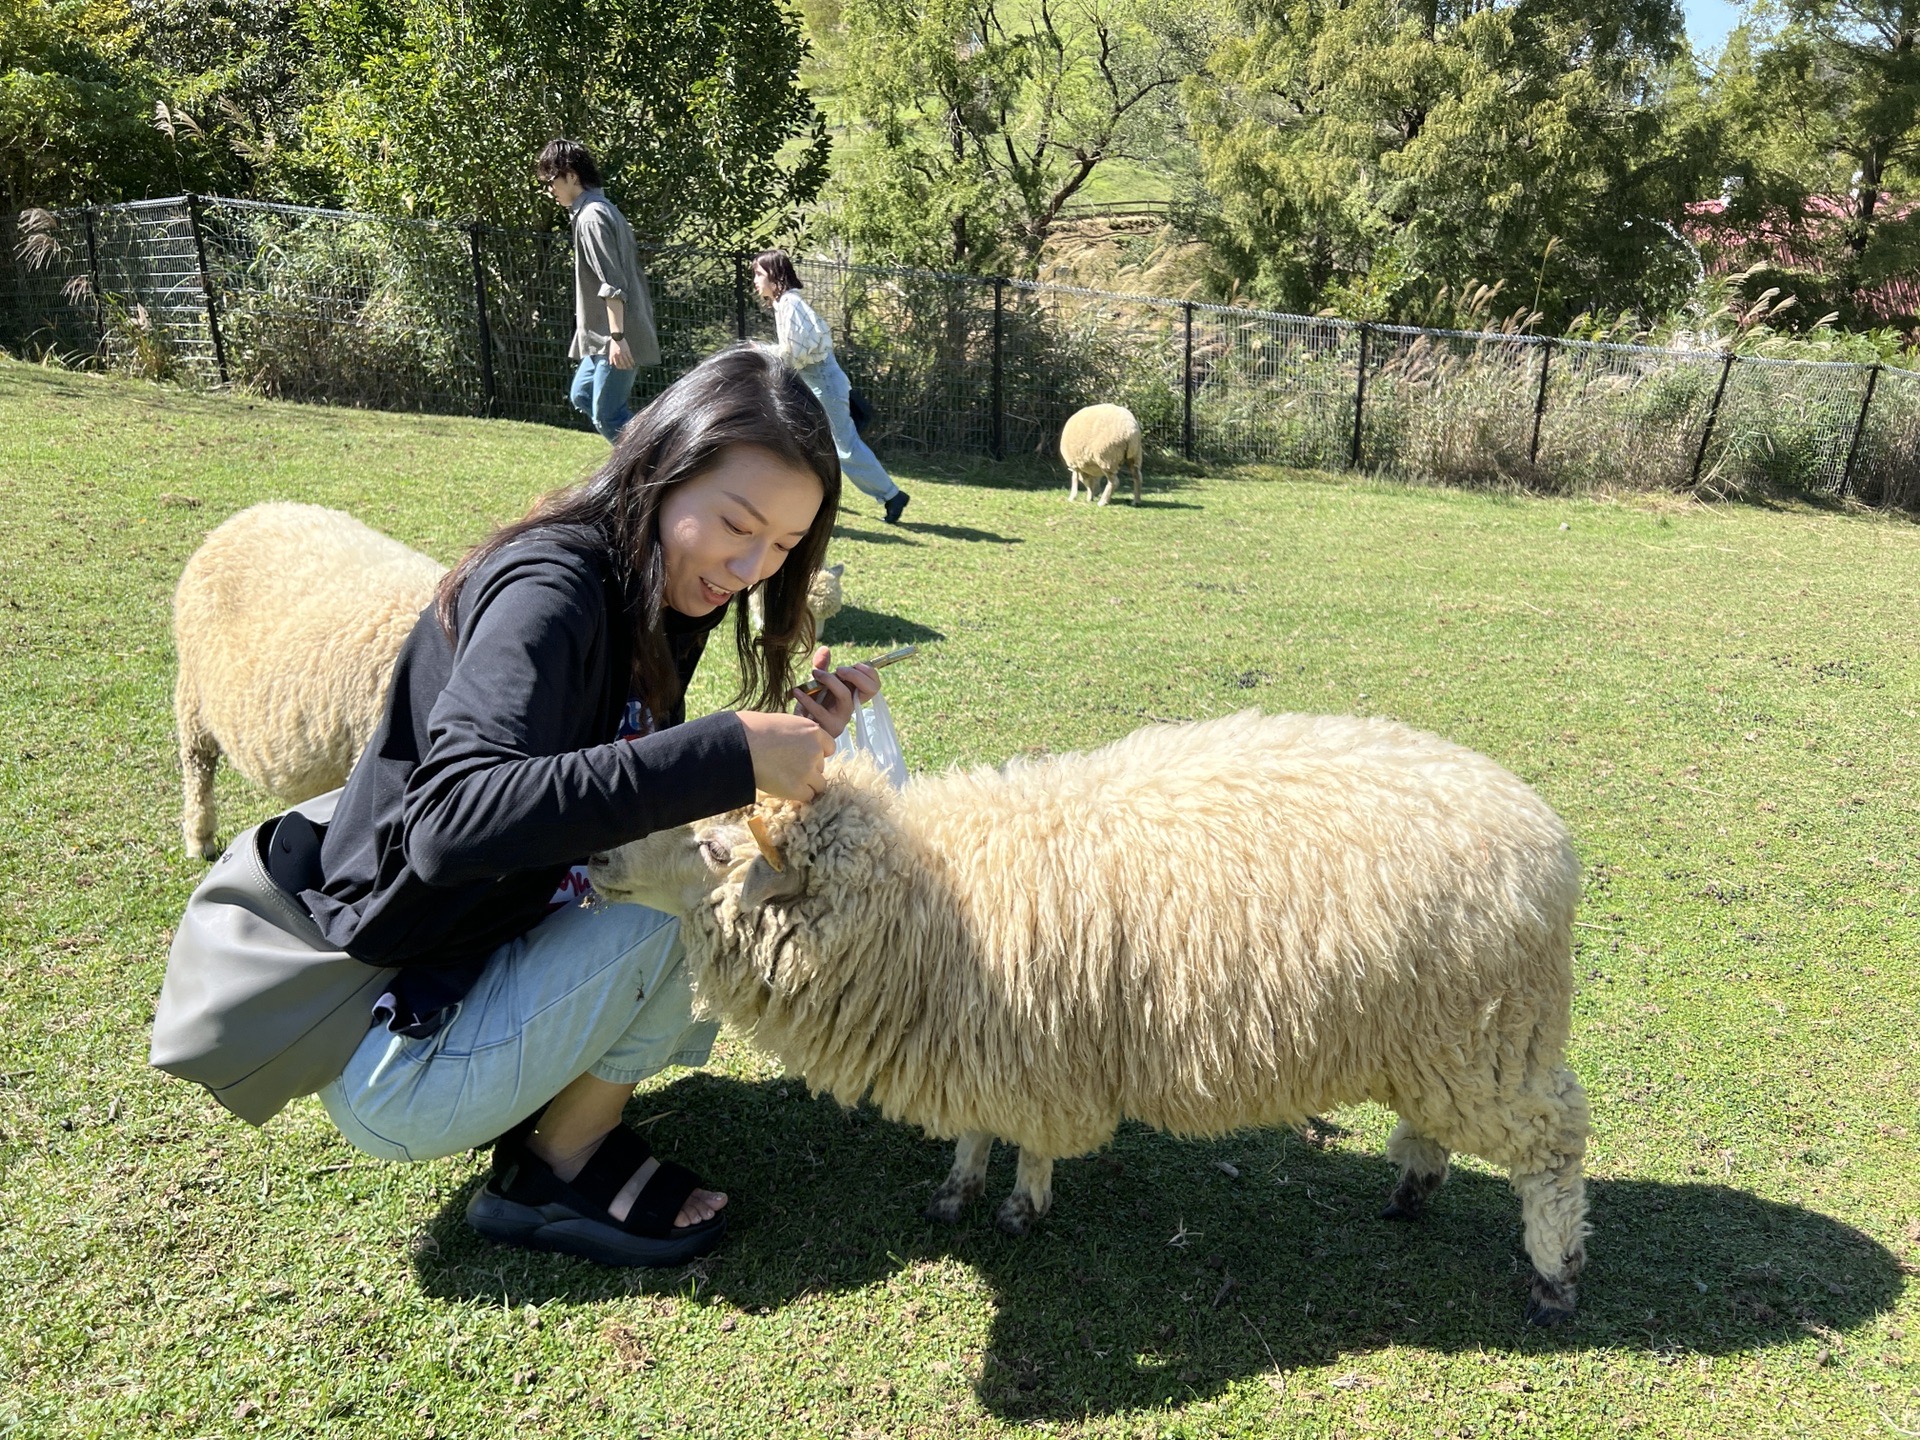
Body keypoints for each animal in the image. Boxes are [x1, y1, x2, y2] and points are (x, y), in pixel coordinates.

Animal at [591, 710, 1597, 1328]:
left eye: (715, 849)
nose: (595, 853)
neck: (928, 898)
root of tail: (1544, 831)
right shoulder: (980, 1042)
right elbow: (974, 1129)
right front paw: (957, 1188)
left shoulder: (1037, 1051)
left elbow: (1030, 1143)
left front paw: (1019, 1208)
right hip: (1439, 1039)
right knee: (1440, 1123)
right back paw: (1413, 1188)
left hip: (1490, 1035)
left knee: (1553, 1143)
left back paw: (1554, 1277)